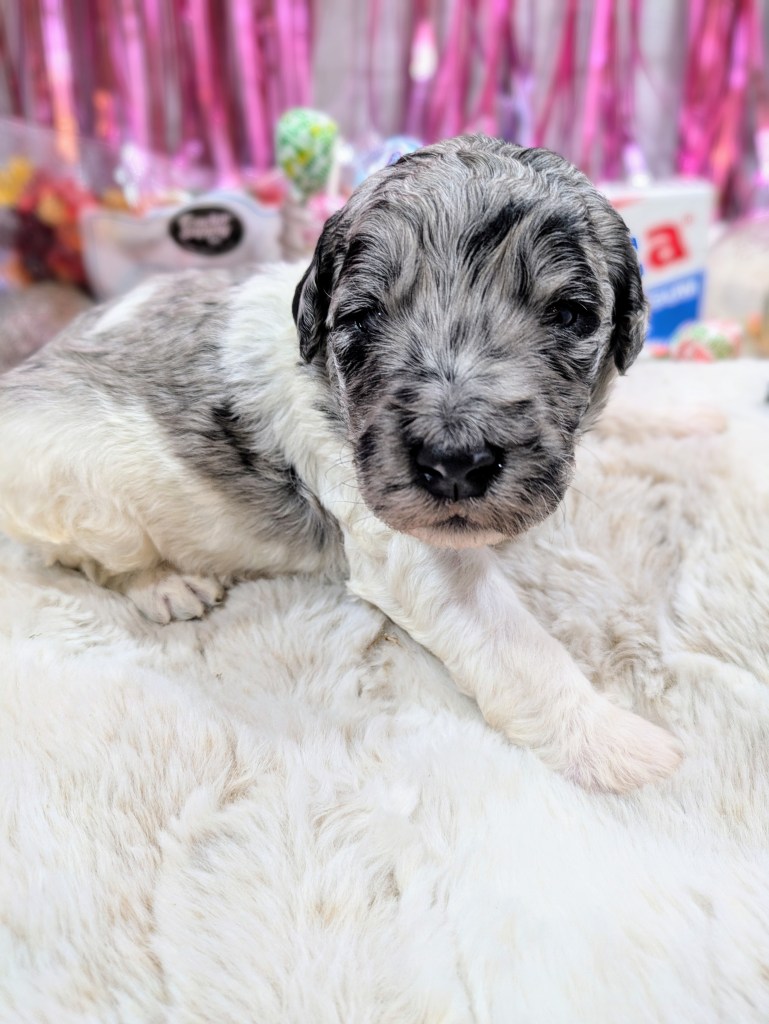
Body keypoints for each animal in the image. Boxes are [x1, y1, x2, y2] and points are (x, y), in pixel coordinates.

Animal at [0, 135, 682, 792]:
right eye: (363, 317)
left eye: (569, 314)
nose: (454, 464)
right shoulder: (409, 545)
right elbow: (517, 647)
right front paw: (620, 745)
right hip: (84, 499)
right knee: (90, 559)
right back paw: (166, 585)